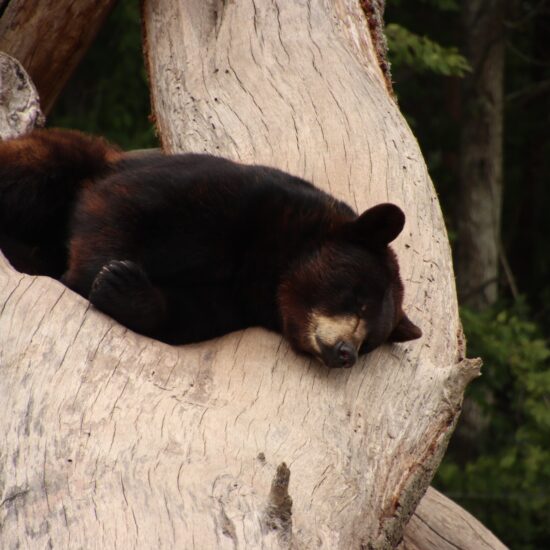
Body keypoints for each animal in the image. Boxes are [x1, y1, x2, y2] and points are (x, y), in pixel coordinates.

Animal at [1, 130, 422, 370]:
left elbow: (188, 315)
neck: (266, 264)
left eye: (370, 343)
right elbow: (121, 203)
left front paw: (125, 288)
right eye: (358, 300)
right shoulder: (231, 193)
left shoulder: (235, 300)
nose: (347, 353)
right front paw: (95, 276)